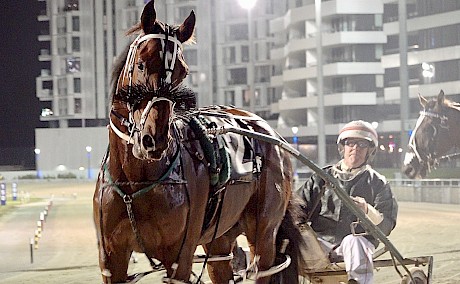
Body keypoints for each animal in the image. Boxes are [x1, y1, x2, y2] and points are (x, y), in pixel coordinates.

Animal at [93, 1, 308, 282]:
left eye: (182, 73)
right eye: (140, 64)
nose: (154, 139)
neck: (134, 181)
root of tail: (265, 129)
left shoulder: (179, 259)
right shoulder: (111, 258)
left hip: (264, 234)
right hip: (220, 237)